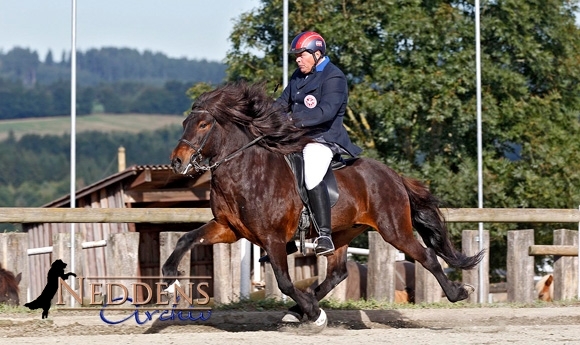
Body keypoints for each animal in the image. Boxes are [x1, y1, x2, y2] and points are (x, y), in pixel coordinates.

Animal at [162, 80, 484, 326]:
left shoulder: (273, 238)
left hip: (394, 229)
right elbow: (186, 239)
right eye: (185, 123)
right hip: (342, 231)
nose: (177, 161)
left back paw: (459, 293)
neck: (246, 173)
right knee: (337, 273)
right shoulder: (227, 228)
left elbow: (284, 281)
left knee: (427, 256)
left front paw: (315, 314)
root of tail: (393, 175)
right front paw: (168, 278)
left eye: (204, 124)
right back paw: (298, 310)